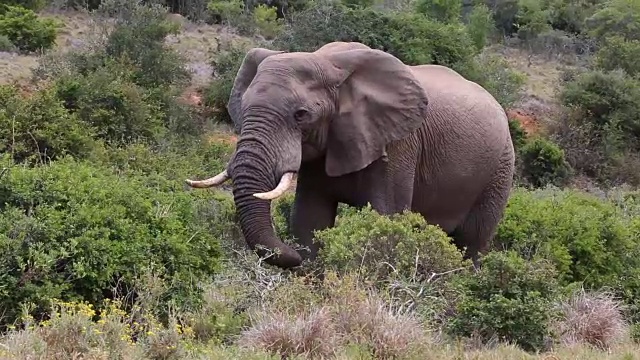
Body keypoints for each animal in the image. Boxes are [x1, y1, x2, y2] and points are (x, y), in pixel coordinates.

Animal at [188, 40, 516, 268]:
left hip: (500, 169)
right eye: (242, 107)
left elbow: (385, 220)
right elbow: (310, 219)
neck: (326, 61)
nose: (293, 256)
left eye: (301, 115)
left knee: (471, 243)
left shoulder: (397, 145)